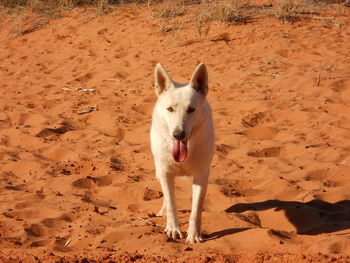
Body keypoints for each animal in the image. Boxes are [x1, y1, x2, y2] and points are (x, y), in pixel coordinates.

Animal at [150, 63, 215, 244]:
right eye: (170, 109)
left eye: (191, 109)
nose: (178, 135)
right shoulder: (165, 173)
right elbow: (171, 203)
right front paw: (173, 229)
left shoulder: (202, 175)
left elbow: (197, 209)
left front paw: (194, 234)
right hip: (158, 171)